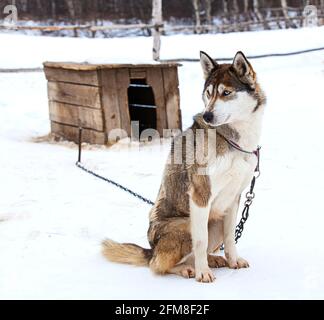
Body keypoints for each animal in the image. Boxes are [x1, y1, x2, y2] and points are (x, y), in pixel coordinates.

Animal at [103, 50, 266, 282]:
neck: (232, 138)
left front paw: (233, 261)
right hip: (185, 224)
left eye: (226, 93)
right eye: (208, 93)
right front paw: (202, 273)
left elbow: (230, 236)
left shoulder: (233, 198)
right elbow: (200, 241)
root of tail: (152, 249)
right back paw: (188, 269)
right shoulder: (200, 195)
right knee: (158, 265)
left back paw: (213, 260)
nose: (207, 115)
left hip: (214, 221)